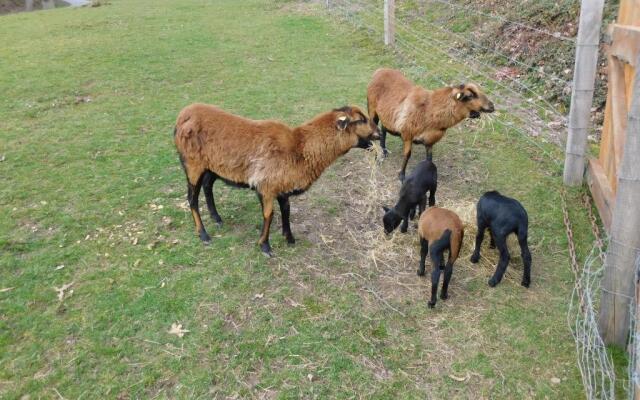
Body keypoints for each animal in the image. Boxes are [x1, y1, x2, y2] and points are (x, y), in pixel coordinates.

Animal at [174, 104, 380, 256]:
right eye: (361, 120)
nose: (378, 132)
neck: (300, 148)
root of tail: (184, 114)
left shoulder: (283, 186)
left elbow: (286, 211)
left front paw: (289, 239)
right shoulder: (266, 186)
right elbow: (269, 215)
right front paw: (265, 246)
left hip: (212, 166)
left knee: (208, 186)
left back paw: (216, 218)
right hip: (192, 164)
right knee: (192, 199)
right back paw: (203, 234)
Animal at [364, 68, 496, 180]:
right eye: (470, 96)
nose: (492, 106)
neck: (430, 111)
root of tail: (380, 70)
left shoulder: (429, 141)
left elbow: (429, 160)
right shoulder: (408, 134)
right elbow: (407, 155)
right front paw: (401, 176)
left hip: (388, 115)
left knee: (384, 129)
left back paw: (384, 150)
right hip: (372, 109)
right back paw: (377, 154)